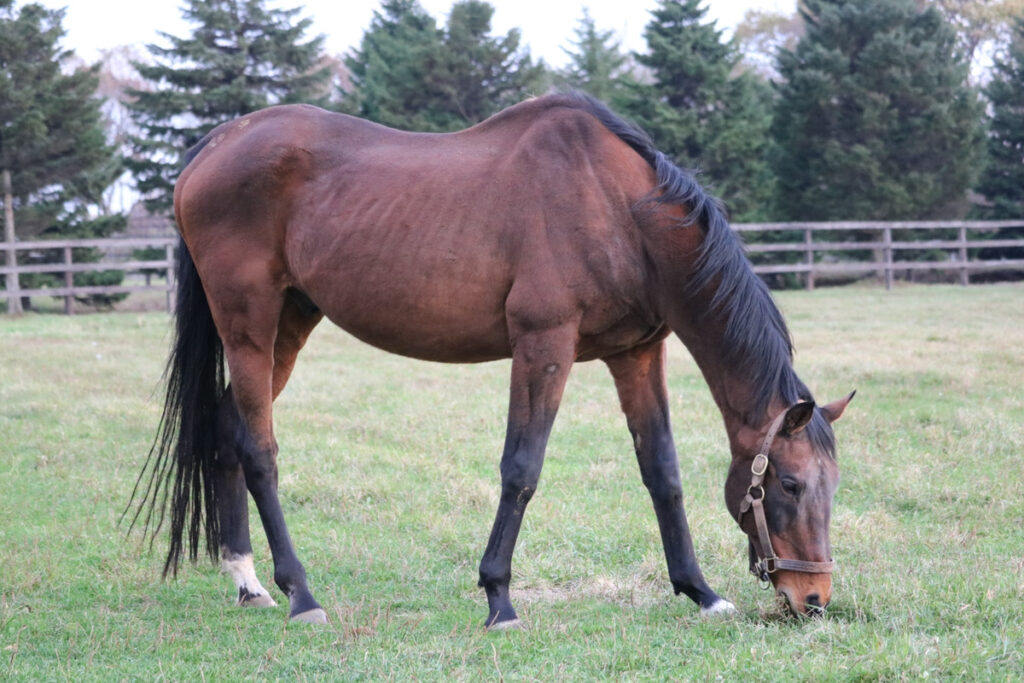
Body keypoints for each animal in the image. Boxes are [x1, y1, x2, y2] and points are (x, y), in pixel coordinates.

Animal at [125, 92, 847, 630]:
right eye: (788, 485)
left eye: (832, 486)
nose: (813, 601)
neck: (617, 207)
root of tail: (216, 146)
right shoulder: (544, 346)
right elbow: (521, 469)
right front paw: (499, 597)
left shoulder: (636, 353)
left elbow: (661, 473)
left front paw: (700, 591)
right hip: (247, 322)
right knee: (259, 450)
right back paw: (300, 592)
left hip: (291, 321)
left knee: (227, 431)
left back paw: (247, 581)